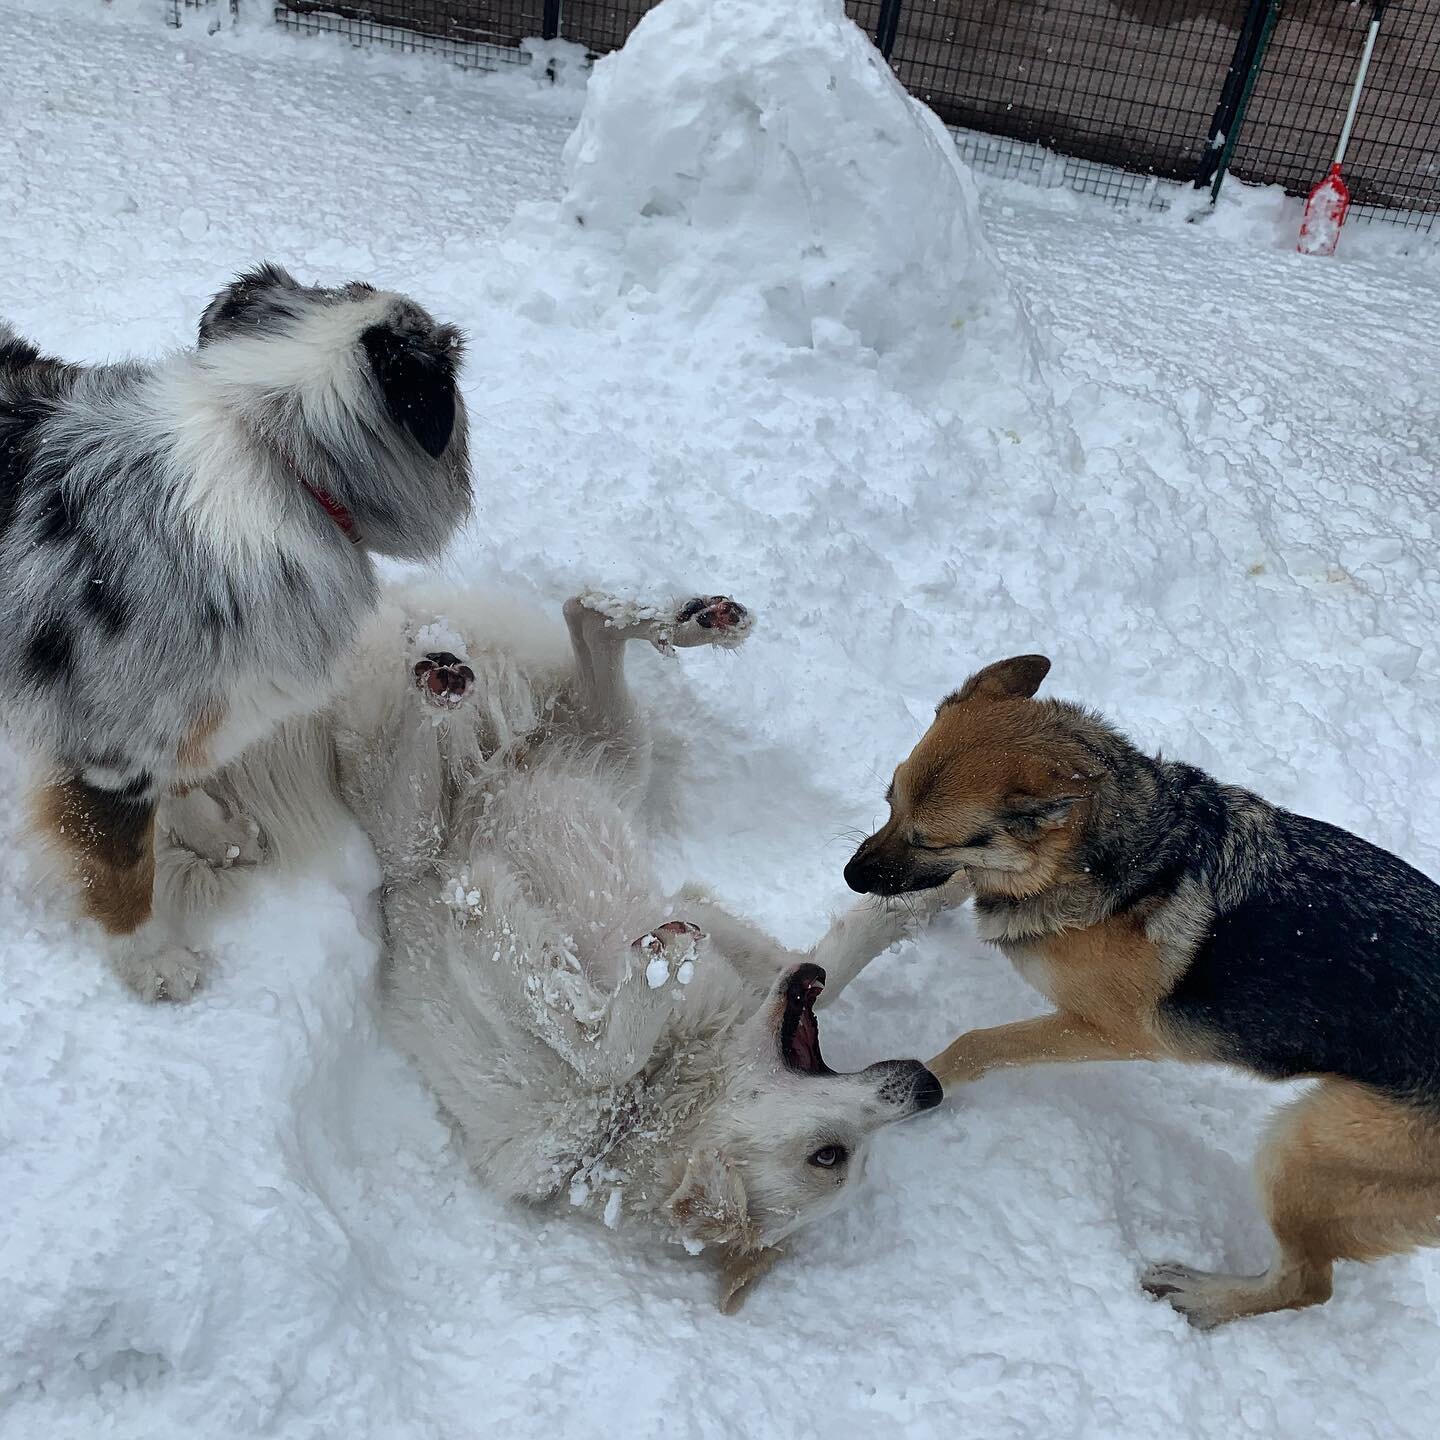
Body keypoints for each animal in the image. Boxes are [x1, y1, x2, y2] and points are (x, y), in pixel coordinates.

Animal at [160, 581, 944, 1307]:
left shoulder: (689, 938)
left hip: (557, 760)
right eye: (829, 1157)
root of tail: (495, 762)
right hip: (427, 821)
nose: (927, 1086)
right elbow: (621, 1032)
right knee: (528, 665)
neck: (647, 1101)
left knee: (581, 621)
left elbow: (775, 974)